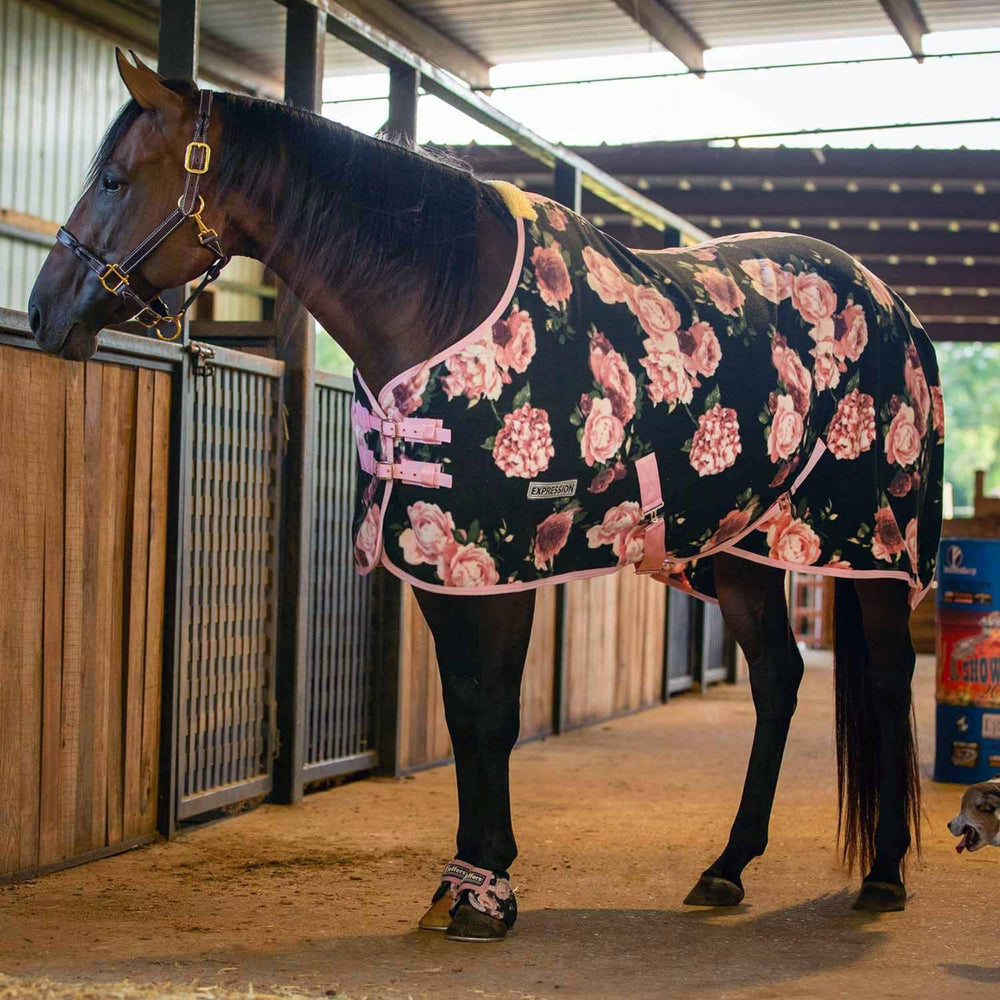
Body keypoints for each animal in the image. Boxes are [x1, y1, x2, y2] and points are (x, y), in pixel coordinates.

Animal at [29, 51, 943, 943]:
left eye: (113, 179)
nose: (43, 312)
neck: (445, 298)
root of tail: (896, 308)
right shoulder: (444, 564)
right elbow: (466, 709)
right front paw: (465, 880)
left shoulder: (504, 560)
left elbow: (495, 711)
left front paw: (485, 892)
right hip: (748, 547)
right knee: (779, 679)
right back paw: (727, 866)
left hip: (876, 548)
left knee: (889, 680)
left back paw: (886, 873)